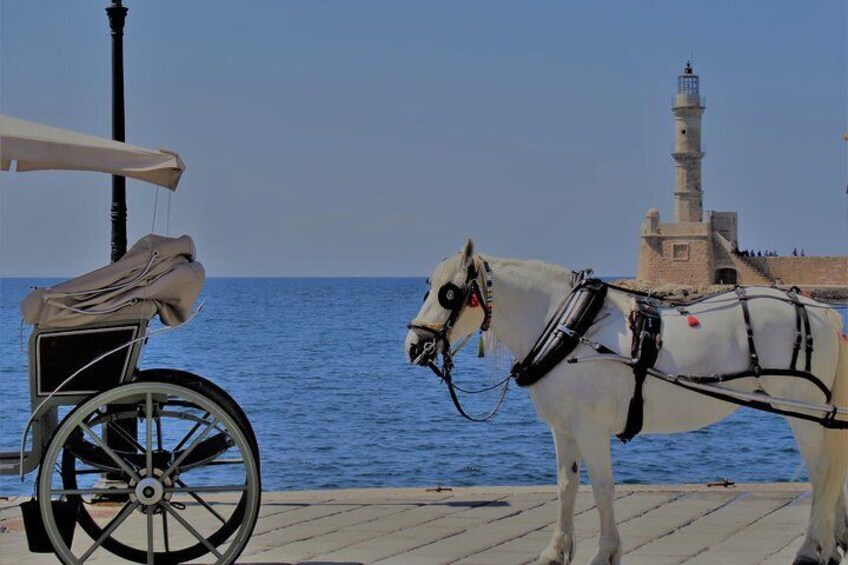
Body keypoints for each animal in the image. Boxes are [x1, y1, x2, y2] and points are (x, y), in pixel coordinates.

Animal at [406, 240, 848, 564]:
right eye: (428, 287)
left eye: (450, 294)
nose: (414, 345)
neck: (570, 329)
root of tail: (822, 311)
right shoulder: (563, 429)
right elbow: (566, 486)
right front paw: (557, 550)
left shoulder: (591, 428)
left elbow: (602, 488)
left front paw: (606, 553)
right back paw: (830, 545)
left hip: (803, 412)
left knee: (822, 473)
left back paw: (812, 548)